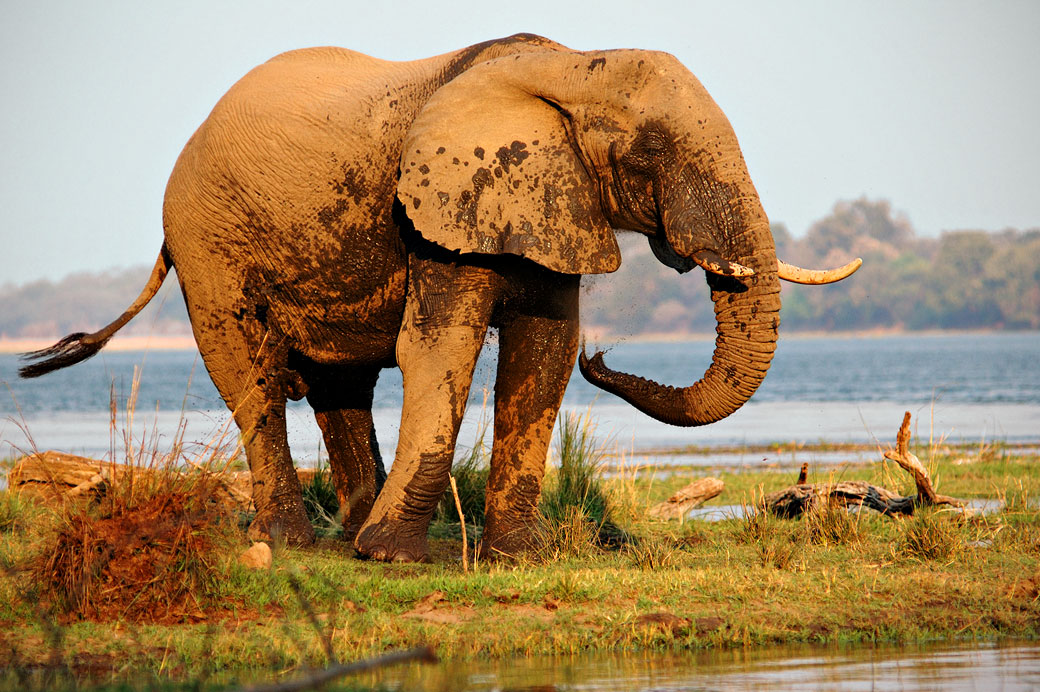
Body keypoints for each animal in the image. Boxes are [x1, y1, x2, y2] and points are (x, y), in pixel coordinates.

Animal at [20, 32, 861, 561]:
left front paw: (516, 559)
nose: (607, 360)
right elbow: (440, 346)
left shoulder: (546, 202)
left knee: (340, 384)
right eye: (649, 150)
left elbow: (544, 350)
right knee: (249, 374)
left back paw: (345, 536)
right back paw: (290, 542)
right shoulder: (439, 207)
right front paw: (394, 559)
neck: (568, 65)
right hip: (207, 242)